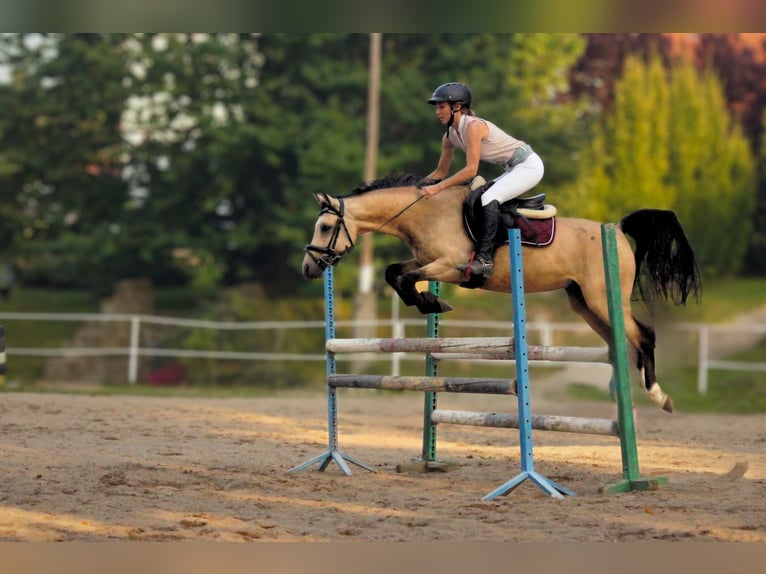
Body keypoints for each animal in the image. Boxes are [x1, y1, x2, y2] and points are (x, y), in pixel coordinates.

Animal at [302, 173, 702, 413]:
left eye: (325, 227)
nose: (308, 268)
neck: (426, 213)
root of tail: (616, 229)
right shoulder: (429, 261)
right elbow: (395, 273)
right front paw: (429, 301)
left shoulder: (451, 265)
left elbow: (405, 278)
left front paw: (431, 301)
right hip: (583, 303)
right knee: (618, 343)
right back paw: (620, 393)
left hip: (604, 299)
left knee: (643, 335)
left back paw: (658, 395)